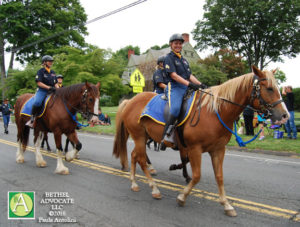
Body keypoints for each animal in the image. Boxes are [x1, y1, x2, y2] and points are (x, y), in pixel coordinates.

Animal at [112, 66, 288, 216]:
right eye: (269, 88)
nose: (285, 115)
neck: (214, 112)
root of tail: (130, 100)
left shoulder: (218, 150)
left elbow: (219, 176)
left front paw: (226, 204)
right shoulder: (194, 149)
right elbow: (196, 175)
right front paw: (182, 197)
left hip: (143, 137)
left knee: (134, 156)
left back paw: (134, 183)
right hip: (139, 137)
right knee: (141, 159)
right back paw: (154, 189)